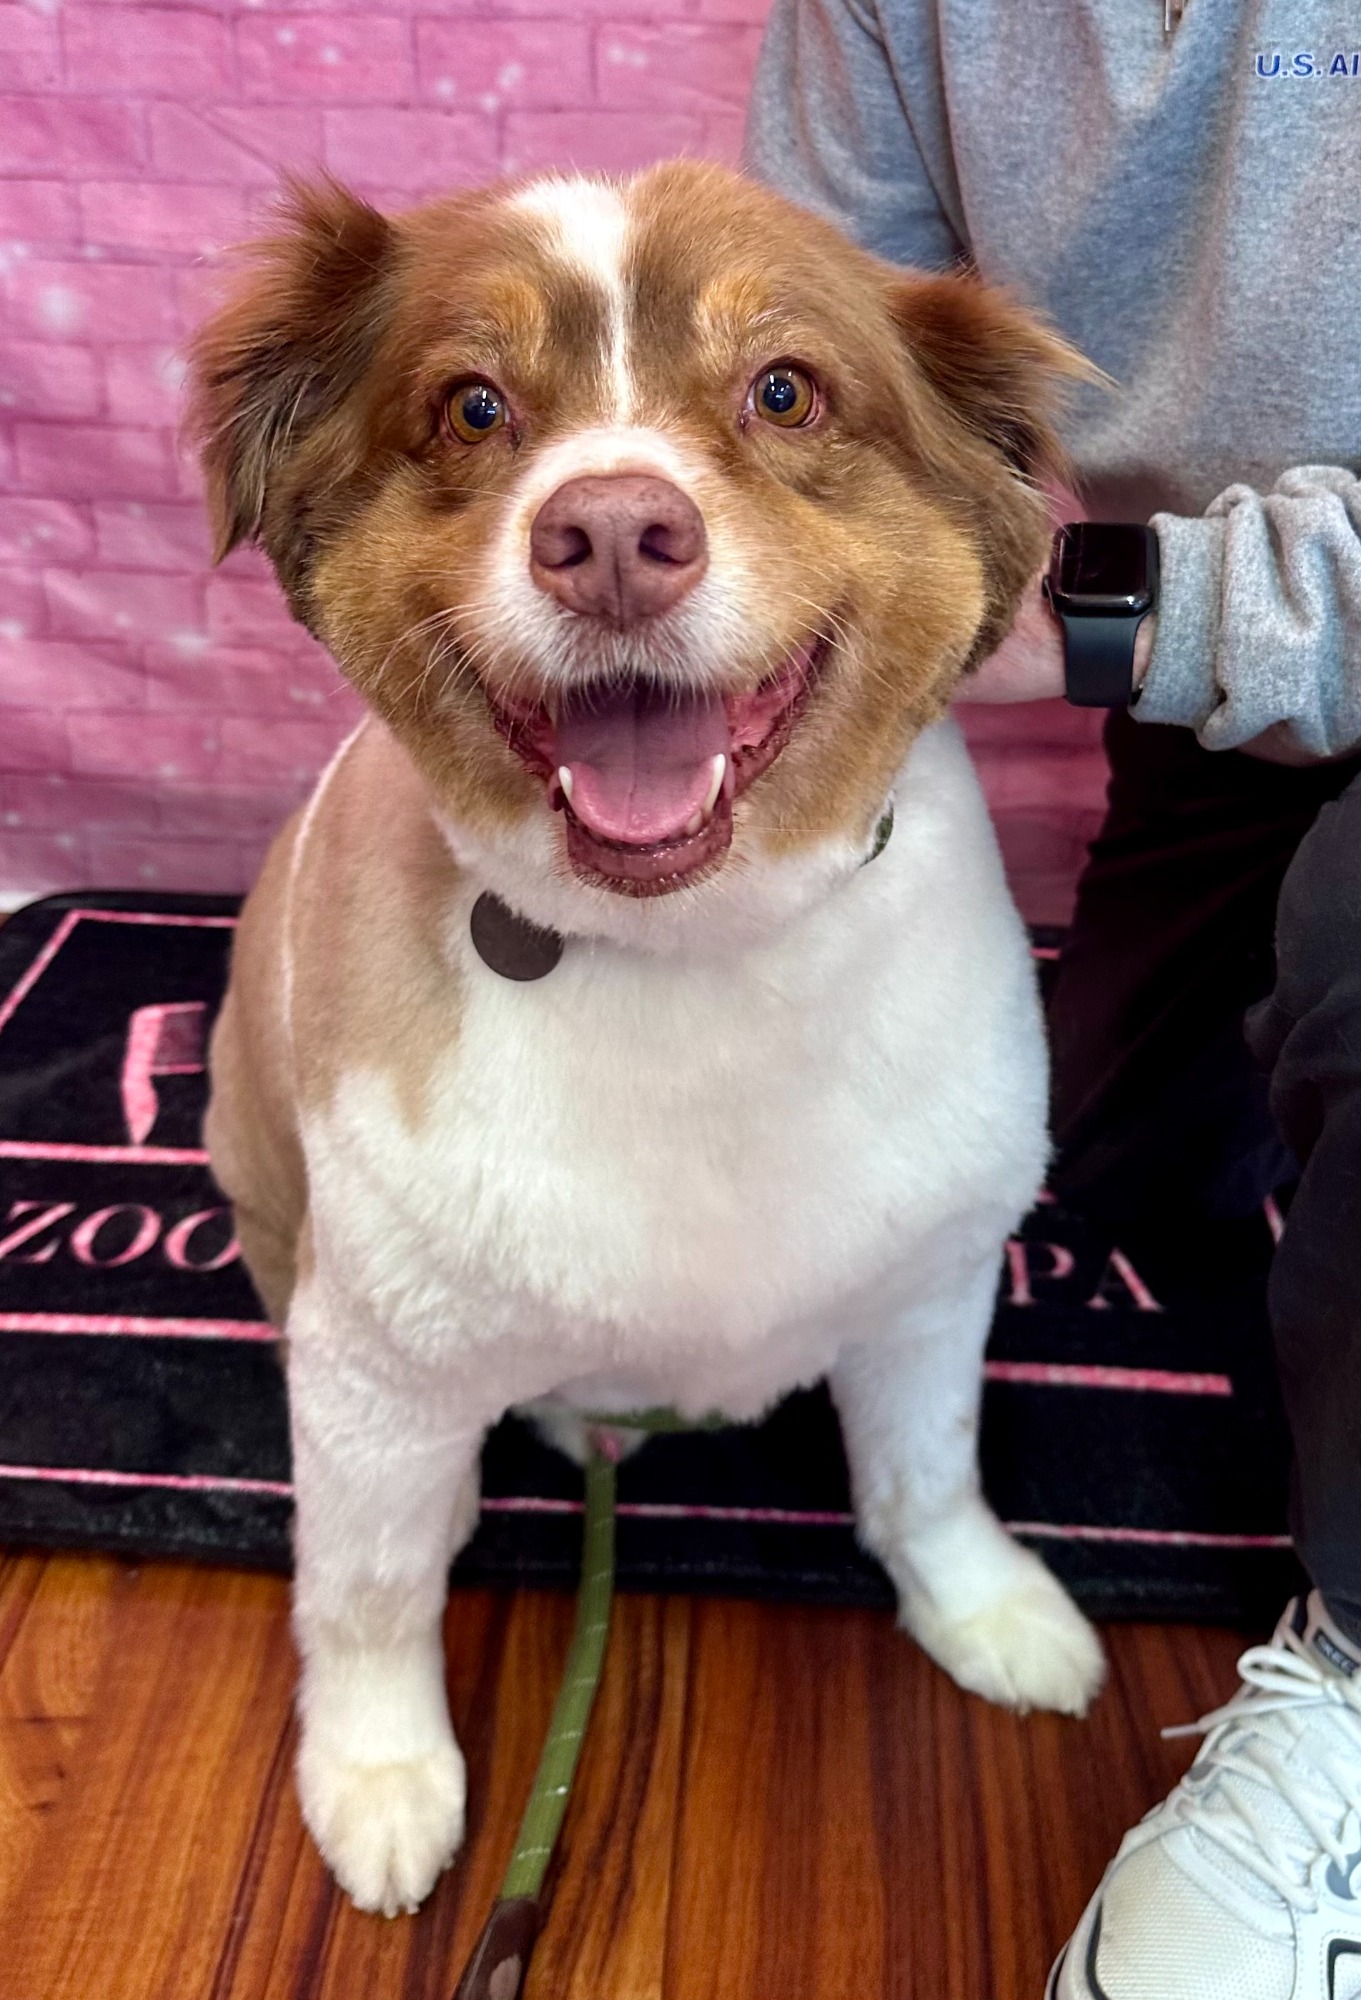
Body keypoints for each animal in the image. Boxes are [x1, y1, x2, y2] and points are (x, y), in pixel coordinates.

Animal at [189, 160, 1105, 1918]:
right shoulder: (377, 1358)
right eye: (474, 406)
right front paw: (380, 1773)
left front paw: (985, 1607)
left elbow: (928, 1473)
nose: (611, 533)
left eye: (784, 391)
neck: (695, 956)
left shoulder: (932, 1278)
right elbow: (368, 1584)